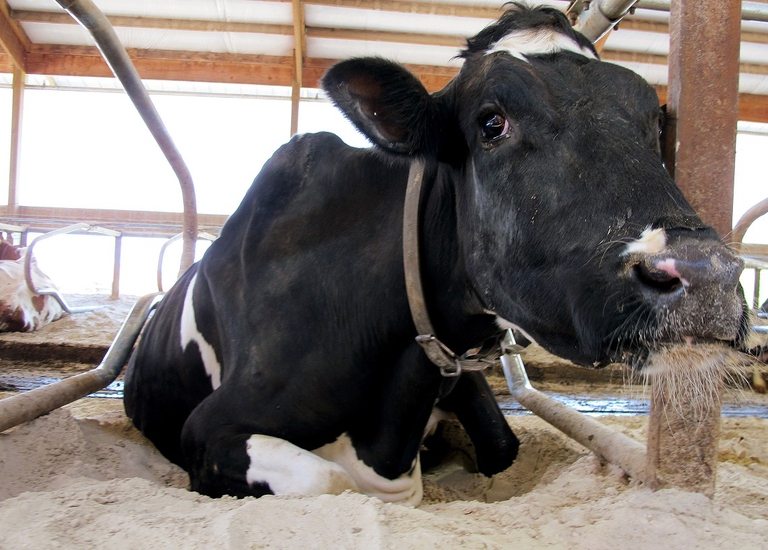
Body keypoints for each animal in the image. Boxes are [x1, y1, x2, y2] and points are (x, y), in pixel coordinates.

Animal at [124, 4, 750, 505]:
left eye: (653, 122)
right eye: (491, 122)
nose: (707, 274)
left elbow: (505, 446)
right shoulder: (209, 429)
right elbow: (329, 480)